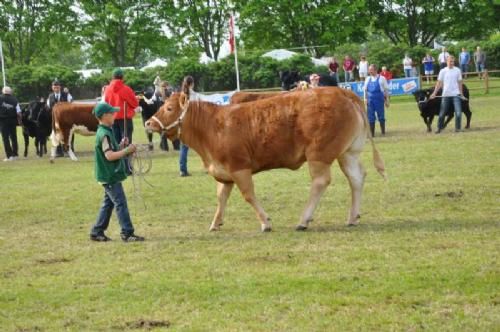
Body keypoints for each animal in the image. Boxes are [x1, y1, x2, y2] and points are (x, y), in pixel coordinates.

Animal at [146, 88, 384, 233]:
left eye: (169, 108)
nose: (148, 123)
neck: (212, 126)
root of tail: (341, 91)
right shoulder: (224, 172)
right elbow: (221, 197)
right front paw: (215, 223)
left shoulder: (239, 167)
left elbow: (248, 195)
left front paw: (265, 222)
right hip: (348, 152)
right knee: (356, 178)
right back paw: (352, 217)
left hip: (319, 154)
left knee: (321, 181)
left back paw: (303, 220)